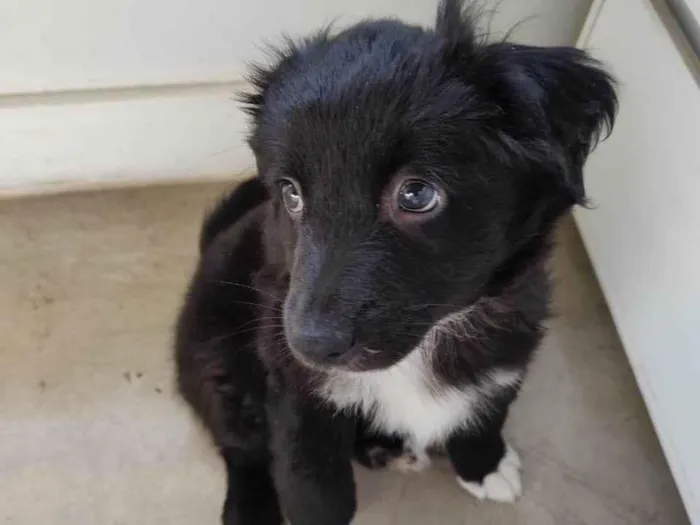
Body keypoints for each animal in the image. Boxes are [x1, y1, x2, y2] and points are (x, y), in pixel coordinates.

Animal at [176, 1, 616, 524]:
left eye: (417, 194)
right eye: (291, 194)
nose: (309, 344)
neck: (430, 343)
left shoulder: (509, 342)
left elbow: (489, 407)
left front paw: (484, 464)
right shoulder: (297, 396)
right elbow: (313, 486)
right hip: (219, 362)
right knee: (240, 448)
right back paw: (252, 507)